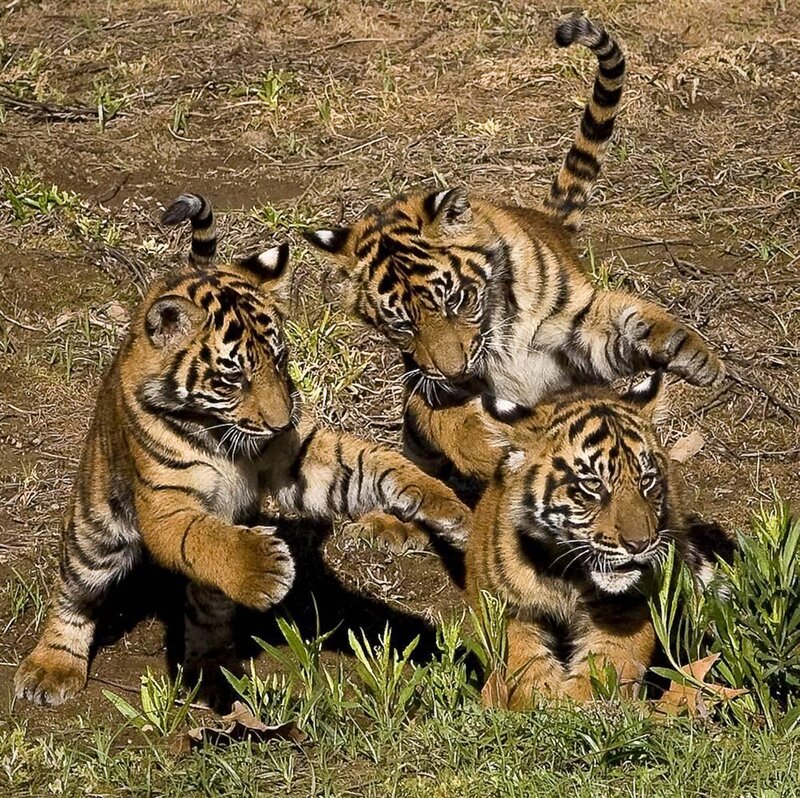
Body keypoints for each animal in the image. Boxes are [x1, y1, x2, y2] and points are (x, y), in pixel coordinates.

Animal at [14, 193, 470, 708]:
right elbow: (203, 537)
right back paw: (51, 668)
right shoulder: (166, 506)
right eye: (233, 377)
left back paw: (214, 674)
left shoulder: (295, 459)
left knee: (207, 608)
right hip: (97, 526)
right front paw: (266, 568)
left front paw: (442, 504)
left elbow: (369, 463)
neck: (219, 433)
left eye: (281, 359)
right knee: (76, 589)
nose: (280, 422)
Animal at [302, 14, 724, 548]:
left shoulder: (576, 334)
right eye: (401, 326)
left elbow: (633, 327)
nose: (453, 368)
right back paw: (393, 523)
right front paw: (491, 455)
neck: (497, 330)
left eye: (455, 300)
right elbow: (456, 422)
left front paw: (697, 358)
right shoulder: (431, 386)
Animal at [464, 372, 735, 708]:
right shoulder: (506, 606)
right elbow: (523, 664)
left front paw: (579, 707)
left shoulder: (627, 609)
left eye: (646, 481)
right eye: (593, 485)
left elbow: (607, 666)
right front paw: (540, 703)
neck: (567, 576)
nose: (639, 545)